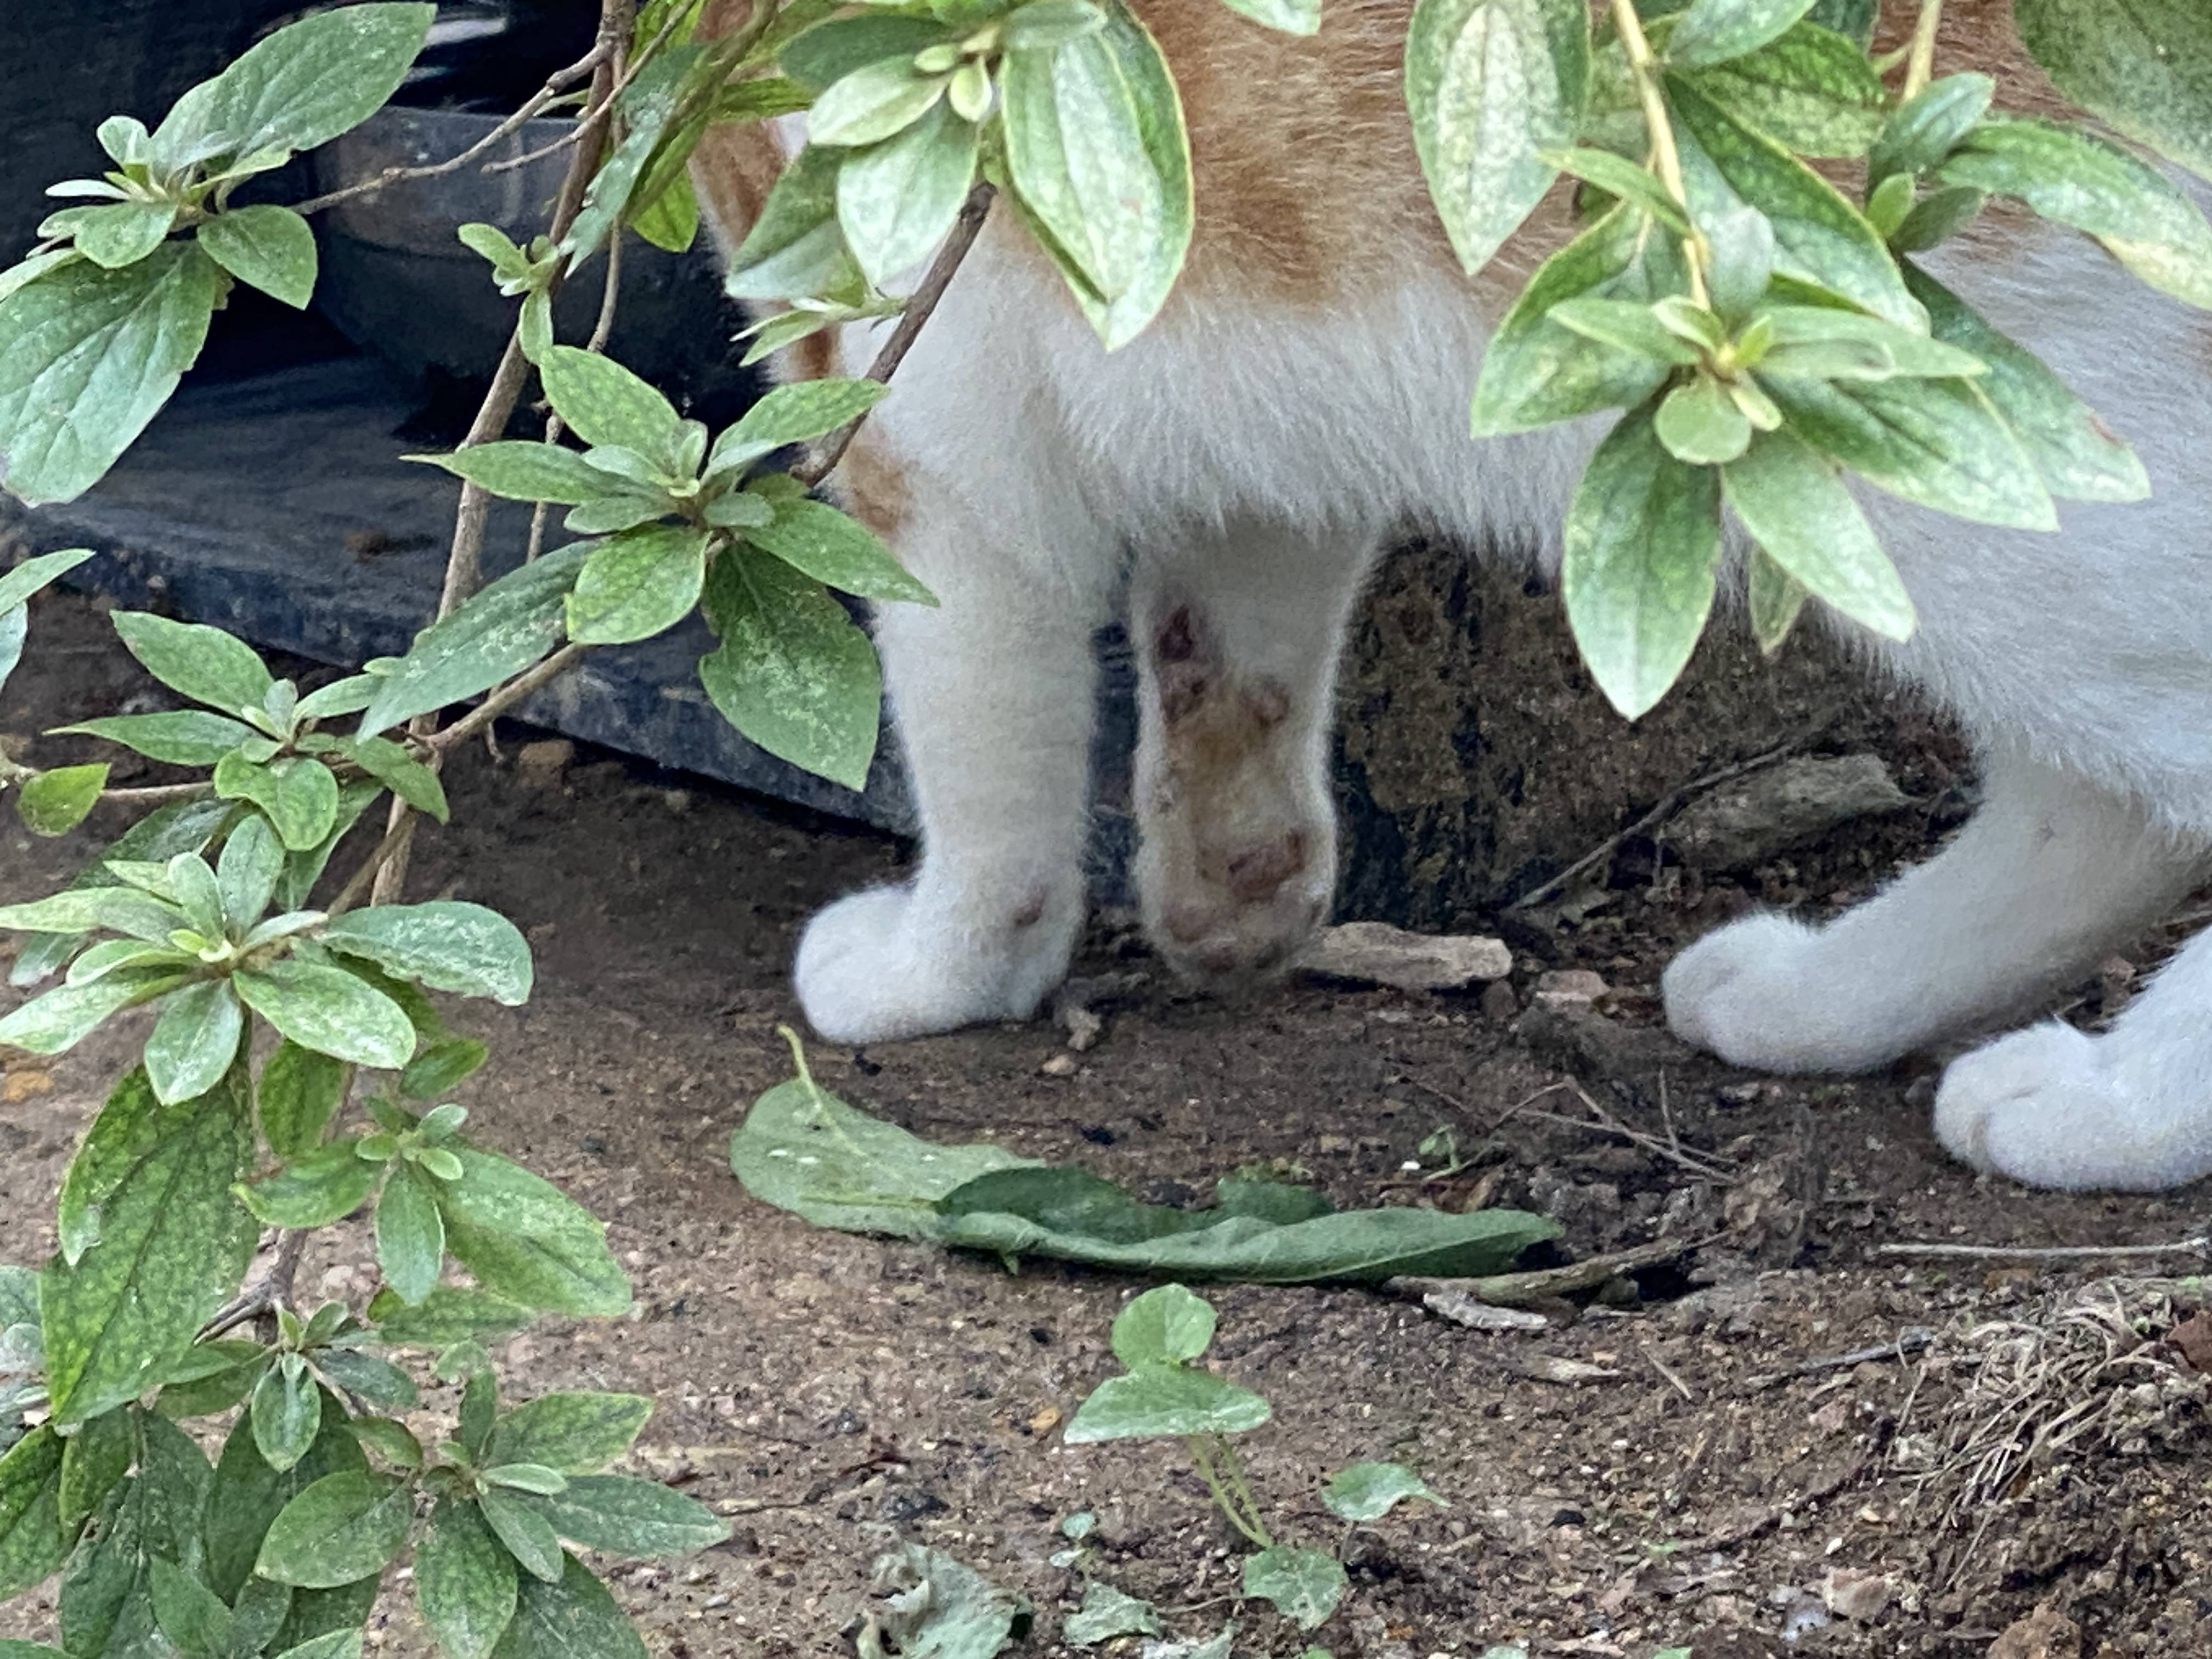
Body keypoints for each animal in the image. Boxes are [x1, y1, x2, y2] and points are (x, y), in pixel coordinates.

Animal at [699, 3, 2212, 1194]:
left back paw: (2118, 1112)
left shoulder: (921, 421)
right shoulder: (1257, 424)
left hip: (1978, 476)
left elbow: (985, 773)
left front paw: (942, 970)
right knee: (2093, 809)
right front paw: (1234, 893)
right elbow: (1236, 667)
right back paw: (1824, 1000)